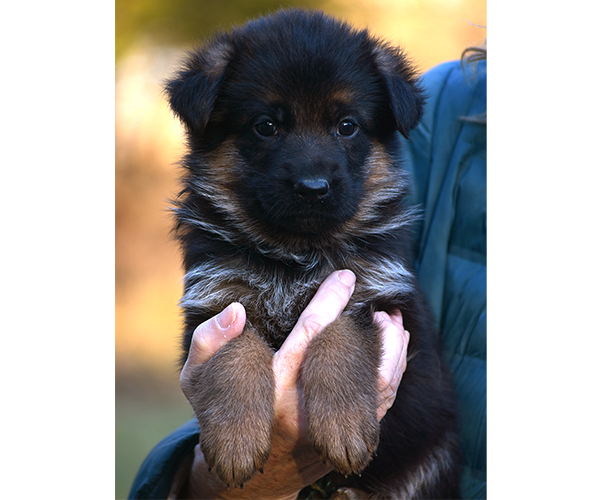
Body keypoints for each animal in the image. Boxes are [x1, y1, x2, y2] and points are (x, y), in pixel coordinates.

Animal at [164, 8, 460, 500]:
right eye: (266, 125)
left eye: (347, 125)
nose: (313, 188)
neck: (294, 252)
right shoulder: (217, 301)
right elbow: (235, 352)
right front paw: (235, 441)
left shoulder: (373, 293)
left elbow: (339, 334)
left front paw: (344, 427)